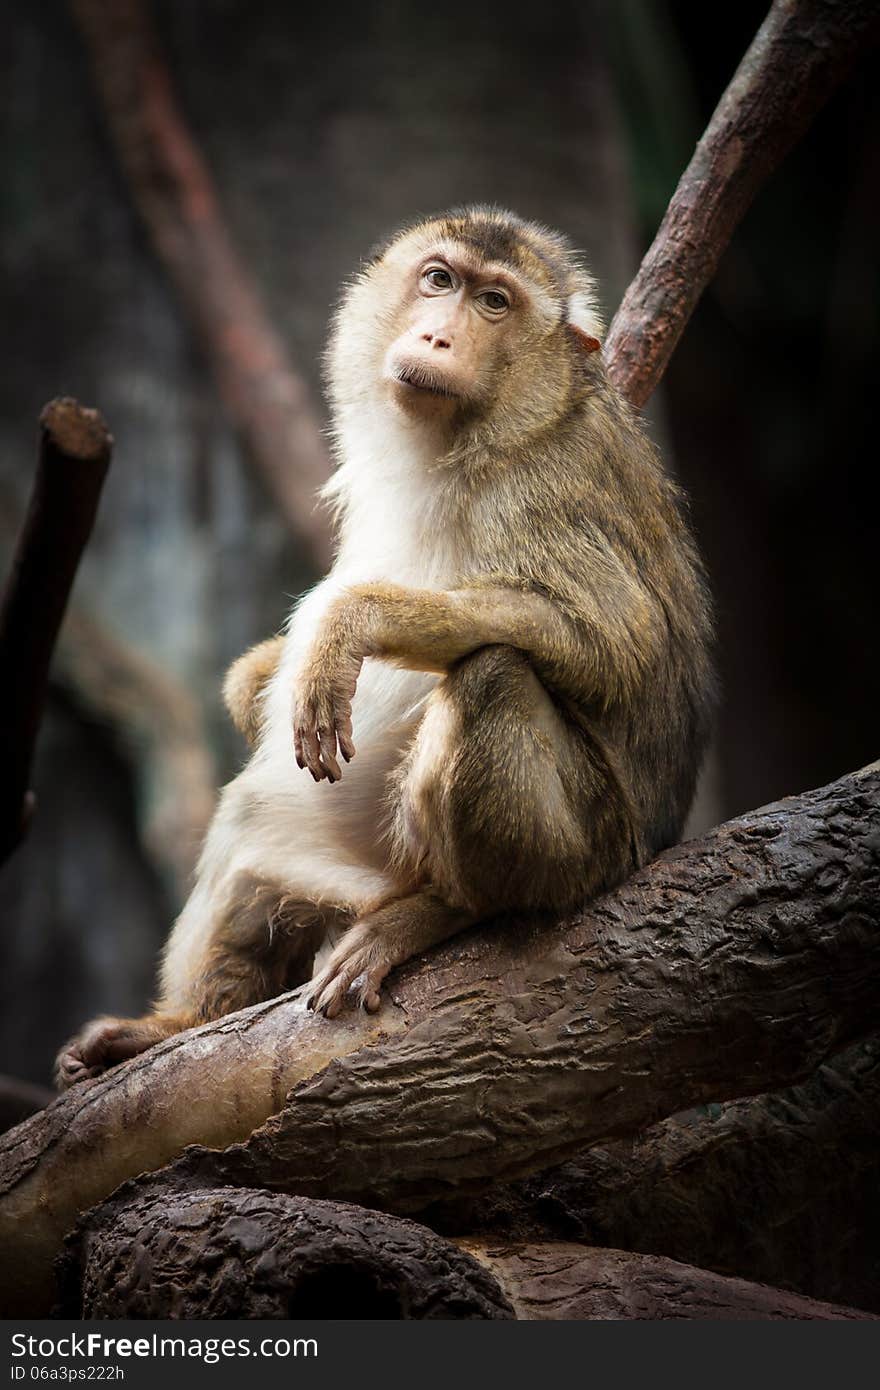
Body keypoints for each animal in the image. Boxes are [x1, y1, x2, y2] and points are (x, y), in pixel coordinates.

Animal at [53, 202, 711, 1084]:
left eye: (493, 304)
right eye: (439, 281)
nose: (437, 336)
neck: (476, 433)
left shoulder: (546, 482)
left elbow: (609, 639)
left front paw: (351, 623)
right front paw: (255, 677)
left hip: (591, 856)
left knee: (493, 674)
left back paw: (453, 910)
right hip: (336, 871)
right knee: (256, 827)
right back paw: (180, 1023)